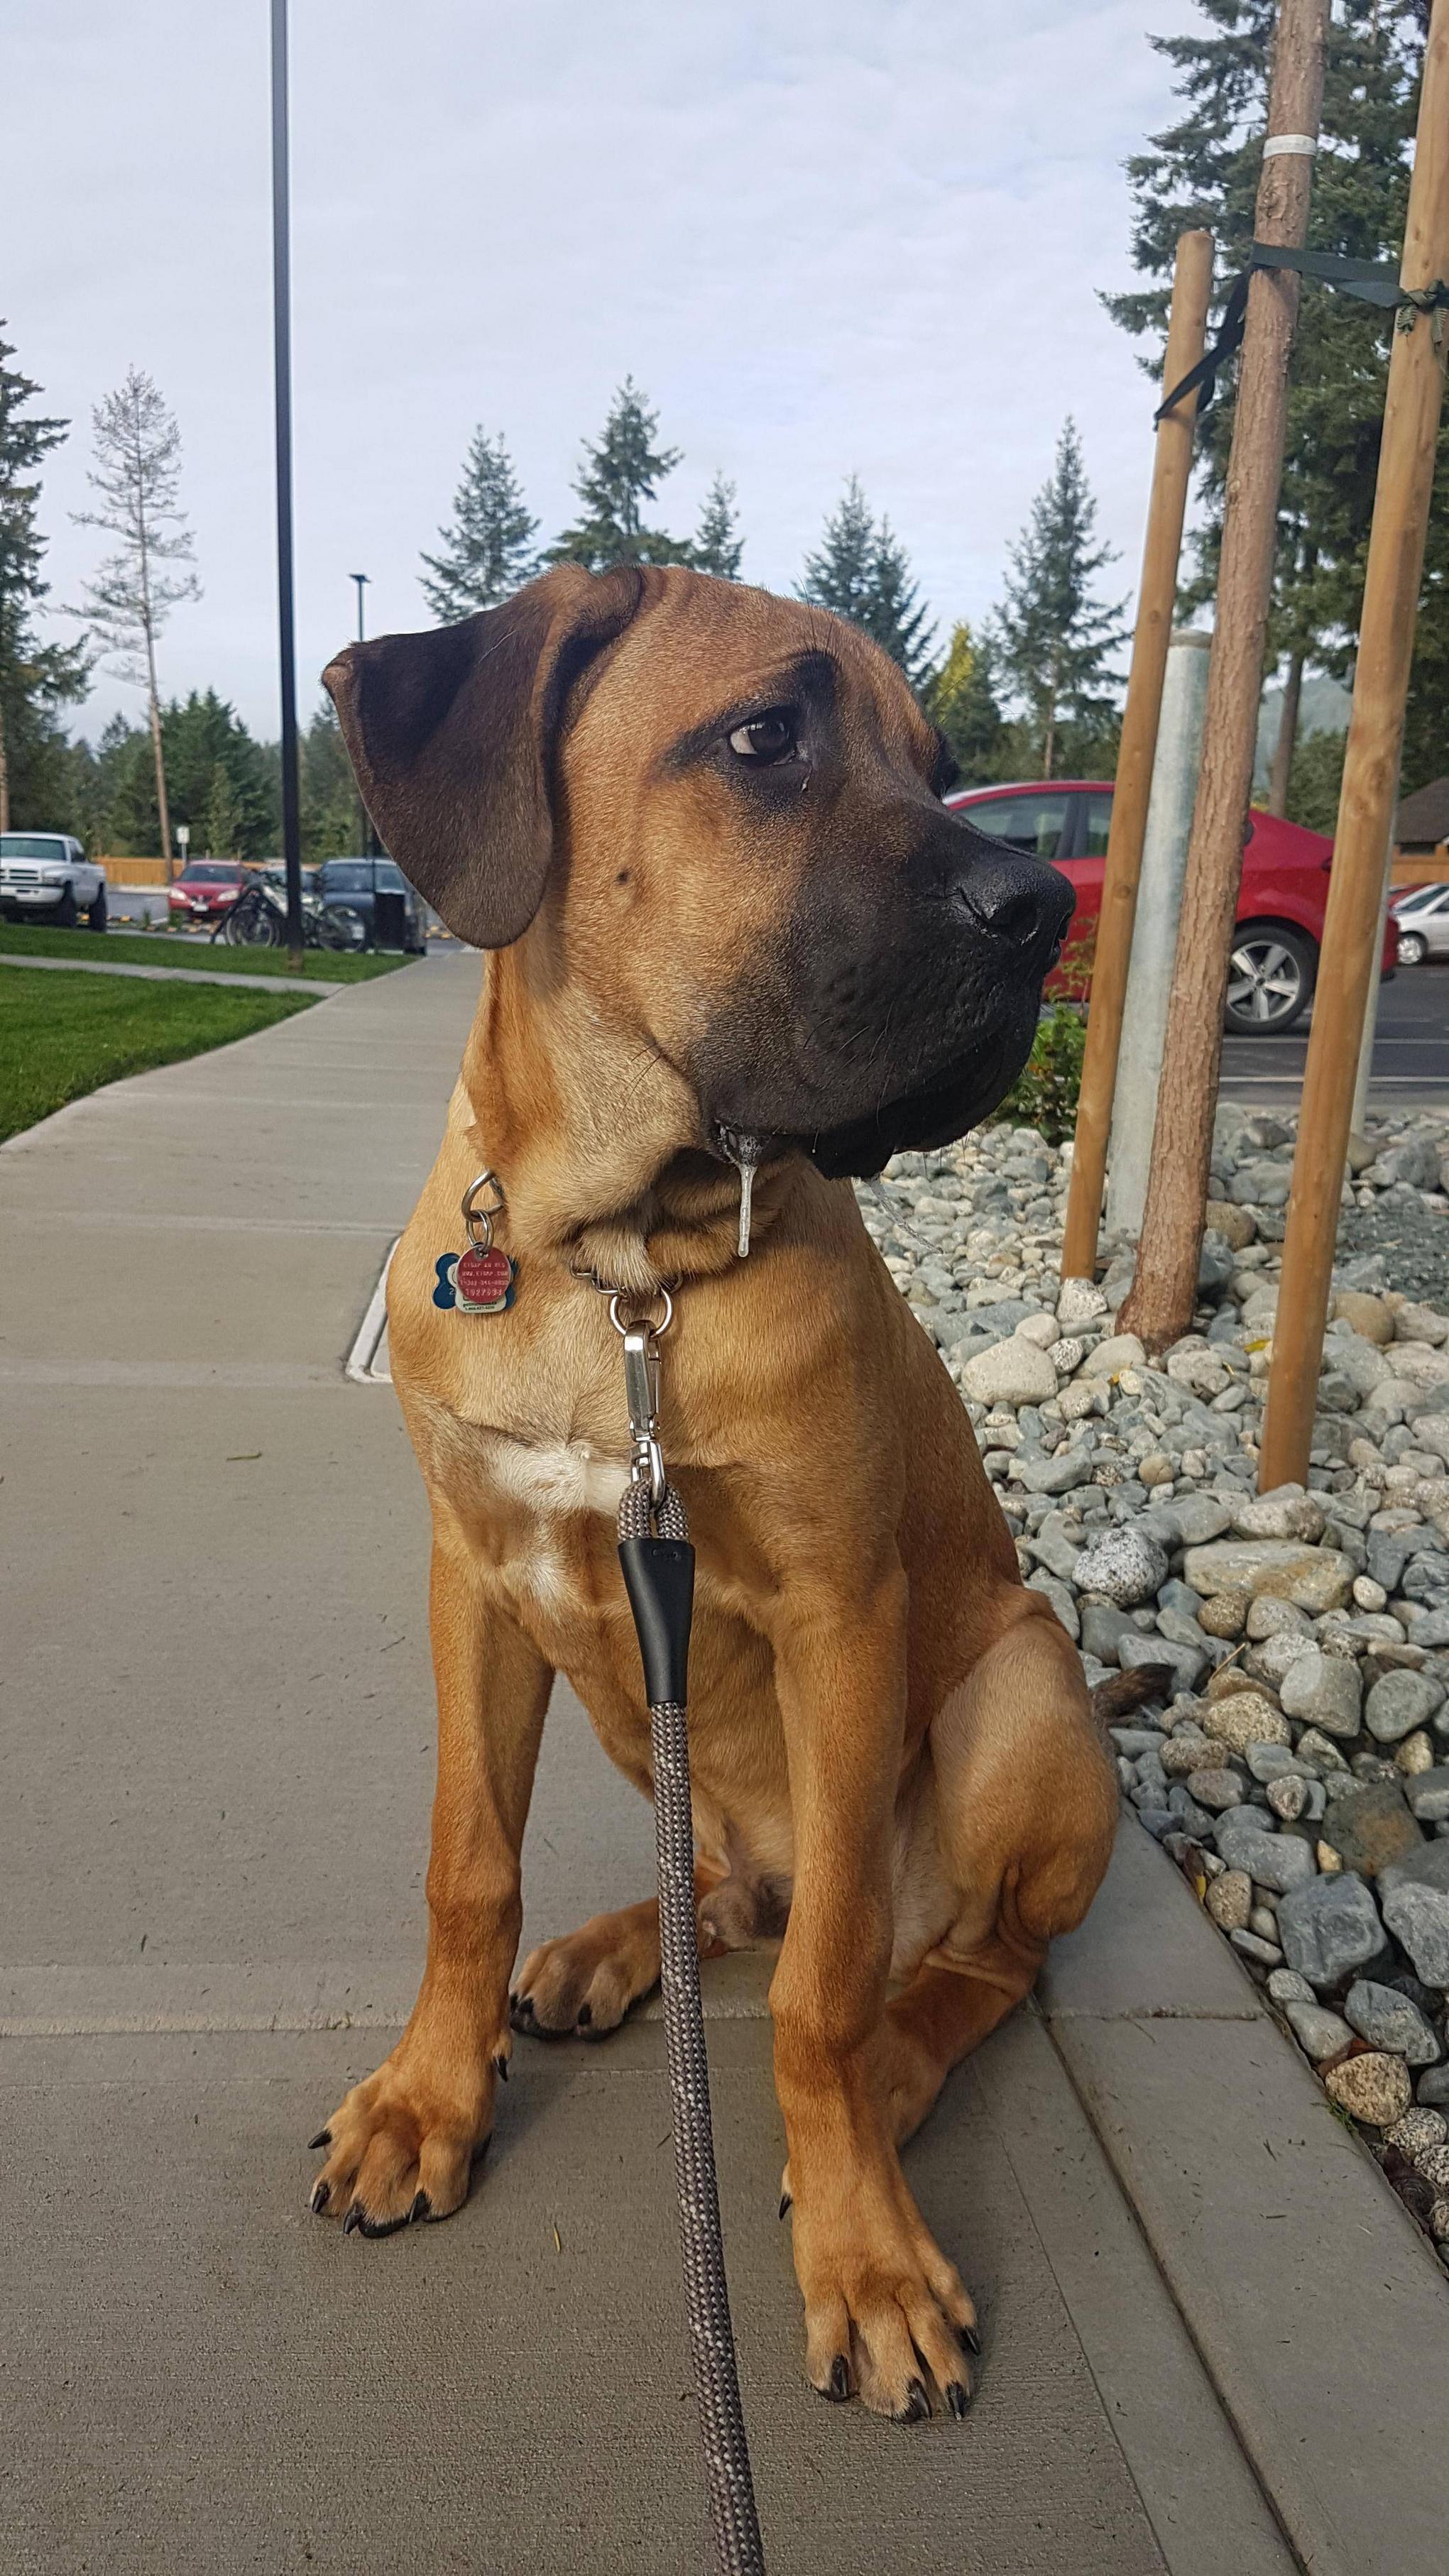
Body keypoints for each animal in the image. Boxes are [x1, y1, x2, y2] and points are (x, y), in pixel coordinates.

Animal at [307, 564, 1119, 2411]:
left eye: (939, 761)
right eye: (766, 737)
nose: (1044, 907)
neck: (620, 1268)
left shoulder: (840, 1608)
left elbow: (819, 1993)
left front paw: (865, 2254)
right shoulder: (478, 1573)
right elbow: (468, 1865)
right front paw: (429, 2098)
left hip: (1025, 1688)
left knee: (953, 1956)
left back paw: (885, 2080)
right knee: (730, 1898)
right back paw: (611, 1951)